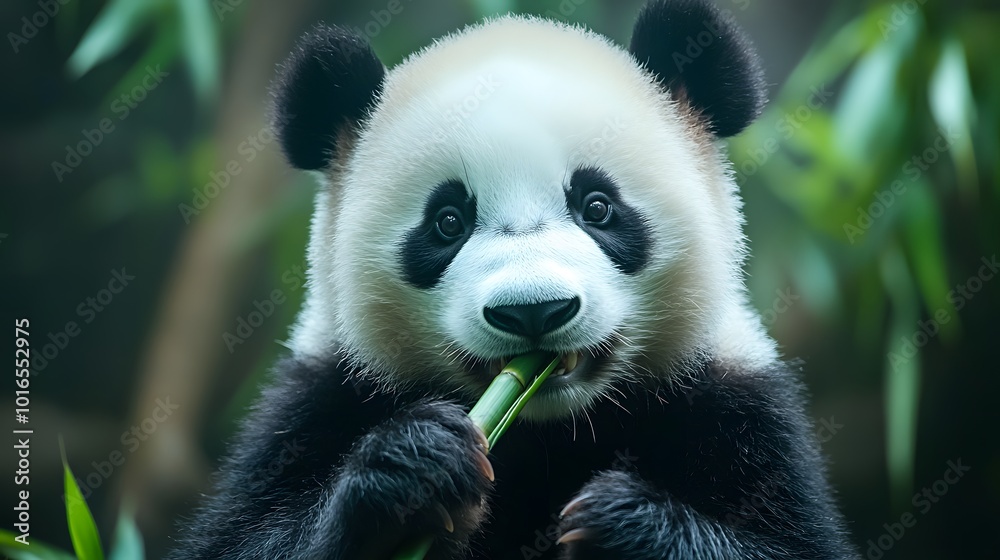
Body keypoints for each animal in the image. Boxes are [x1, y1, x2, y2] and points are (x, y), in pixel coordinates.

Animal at [171, 0, 857, 558]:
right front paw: (415, 465)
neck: (550, 432)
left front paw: (624, 524)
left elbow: (791, 543)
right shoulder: (315, 404)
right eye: (447, 222)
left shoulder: (737, 410)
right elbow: (243, 540)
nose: (534, 311)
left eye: (597, 207)